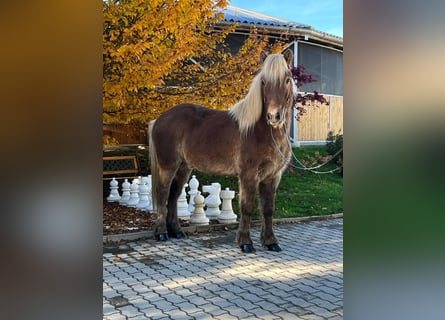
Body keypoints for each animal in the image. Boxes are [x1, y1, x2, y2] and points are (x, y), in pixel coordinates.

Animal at [148, 49, 294, 252]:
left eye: (287, 79)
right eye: (264, 81)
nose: (274, 116)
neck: (262, 131)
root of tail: (159, 119)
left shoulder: (272, 176)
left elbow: (268, 209)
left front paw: (271, 242)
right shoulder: (248, 174)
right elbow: (247, 207)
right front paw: (245, 243)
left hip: (184, 167)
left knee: (174, 195)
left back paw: (176, 231)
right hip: (168, 166)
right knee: (163, 194)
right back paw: (161, 233)